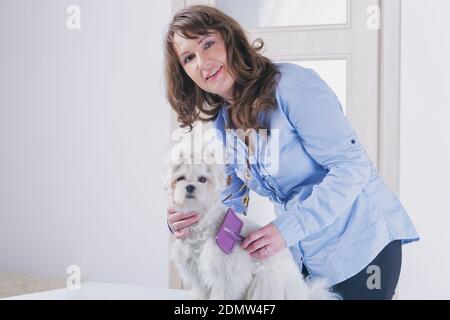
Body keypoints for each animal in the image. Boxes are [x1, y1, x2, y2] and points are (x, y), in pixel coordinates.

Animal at [163, 139, 340, 298]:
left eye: (202, 179)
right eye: (180, 178)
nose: (190, 187)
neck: (203, 225)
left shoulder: (227, 277)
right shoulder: (199, 276)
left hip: (265, 280)